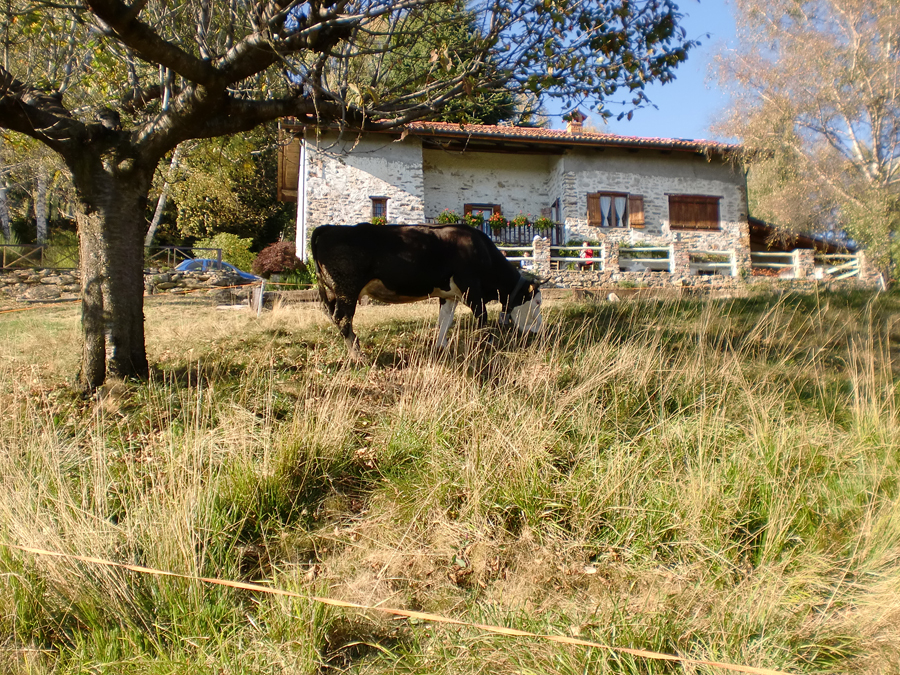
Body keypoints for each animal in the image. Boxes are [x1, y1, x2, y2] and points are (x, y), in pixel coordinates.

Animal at [310, 223, 543, 360]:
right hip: (346, 289)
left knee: (335, 317)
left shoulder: (449, 295)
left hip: (334, 292)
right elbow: (482, 318)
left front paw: (441, 346)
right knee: (343, 318)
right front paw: (487, 345)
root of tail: (331, 227)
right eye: (538, 302)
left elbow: (445, 320)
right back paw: (359, 356)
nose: (539, 332)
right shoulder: (472, 290)